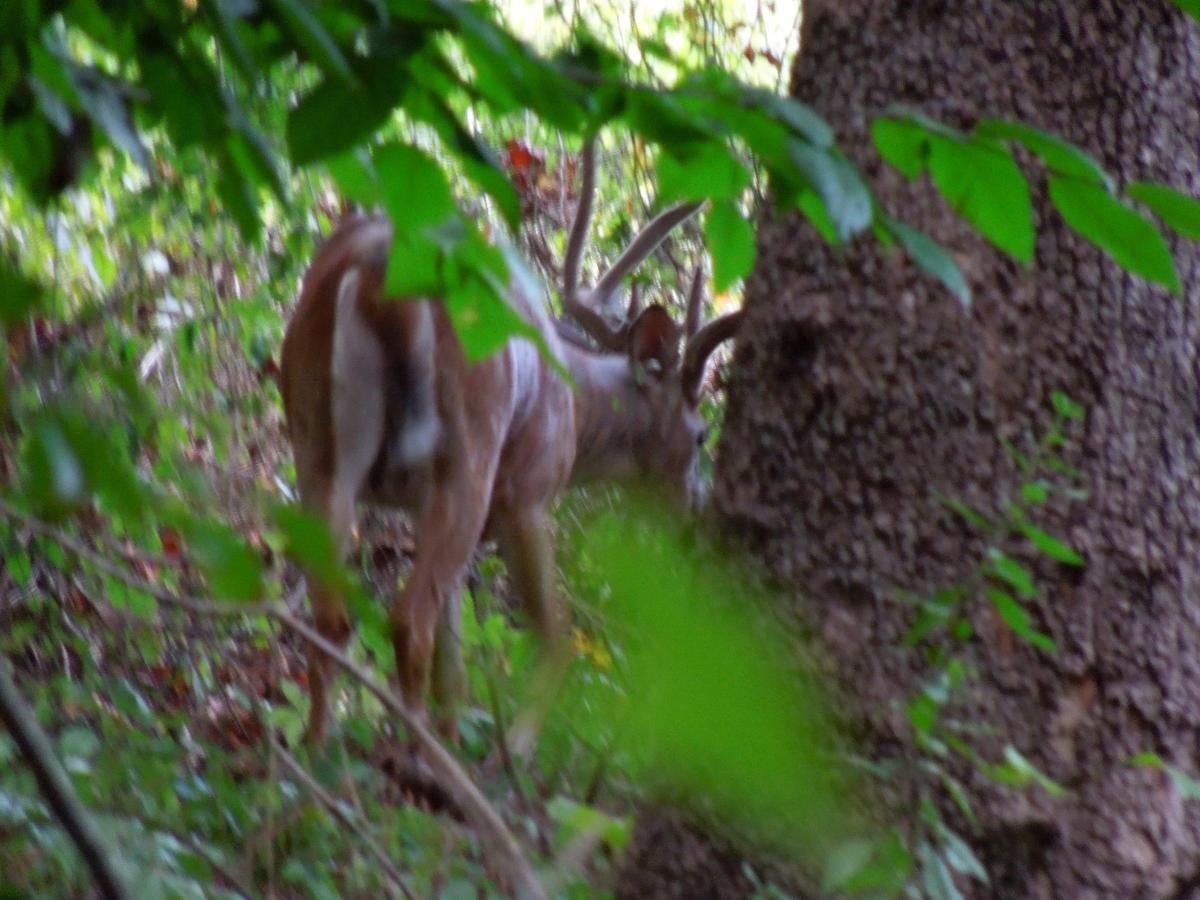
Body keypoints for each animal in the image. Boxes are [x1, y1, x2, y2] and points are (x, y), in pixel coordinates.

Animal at [279, 136, 744, 749]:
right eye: (700, 435)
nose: (694, 509)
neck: (575, 405)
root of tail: (379, 271)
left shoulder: (420, 503)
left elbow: (453, 664)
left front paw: (460, 729)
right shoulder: (527, 496)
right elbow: (556, 635)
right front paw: (518, 746)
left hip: (316, 443)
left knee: (333, 620)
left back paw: (321, 750)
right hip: (468, 453)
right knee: (407, 621)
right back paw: (423, 761)